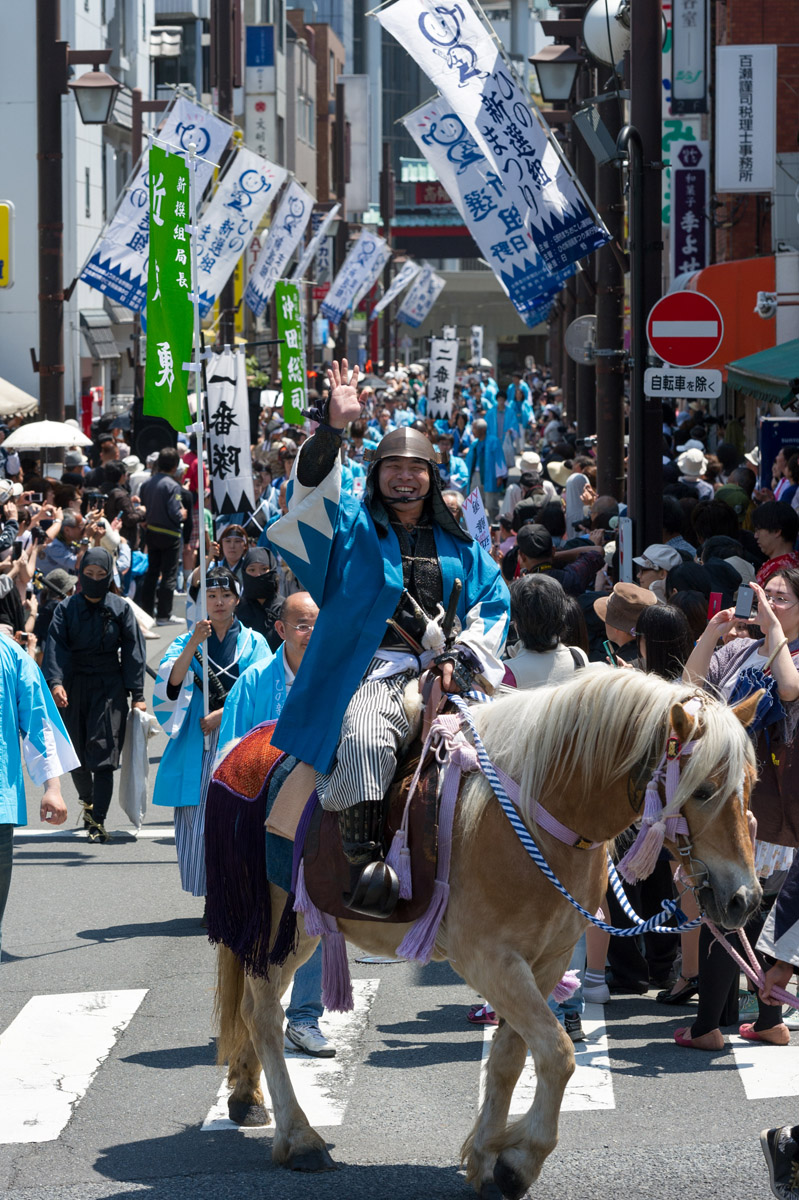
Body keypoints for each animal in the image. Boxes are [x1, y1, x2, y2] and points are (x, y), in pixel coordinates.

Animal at [213, 672, 758, 1195]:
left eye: (750, 784)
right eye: (703, 790)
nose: (745, 900)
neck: (538, 820)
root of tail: (245, 744)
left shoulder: (547, 961)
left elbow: (510, 1059)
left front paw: (489, 1156)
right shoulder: (490, 960)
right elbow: (557, 1055)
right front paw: (520, 1160)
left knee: (253, 1010)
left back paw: (245, 1095)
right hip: (280, 925)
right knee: (262, 1015)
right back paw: (298, 1137)